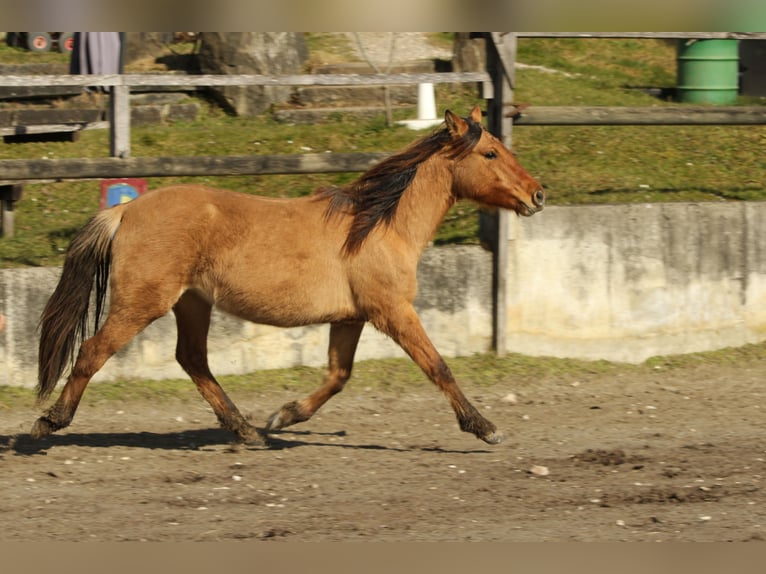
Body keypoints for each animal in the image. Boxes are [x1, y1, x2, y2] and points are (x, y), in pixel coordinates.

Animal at [31, 106, 544, 448]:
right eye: (490, 153)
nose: (538, 194)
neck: (378, 225)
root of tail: (125, 210)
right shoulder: (392, 310)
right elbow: (438, 366)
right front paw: (485, 428)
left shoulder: (351, 317)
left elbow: (339, 375)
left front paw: (283, 417)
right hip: (143, 302)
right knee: (93, 351)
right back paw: (49, 422)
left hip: (192, 302)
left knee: (193, 360)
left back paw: (247, 430)